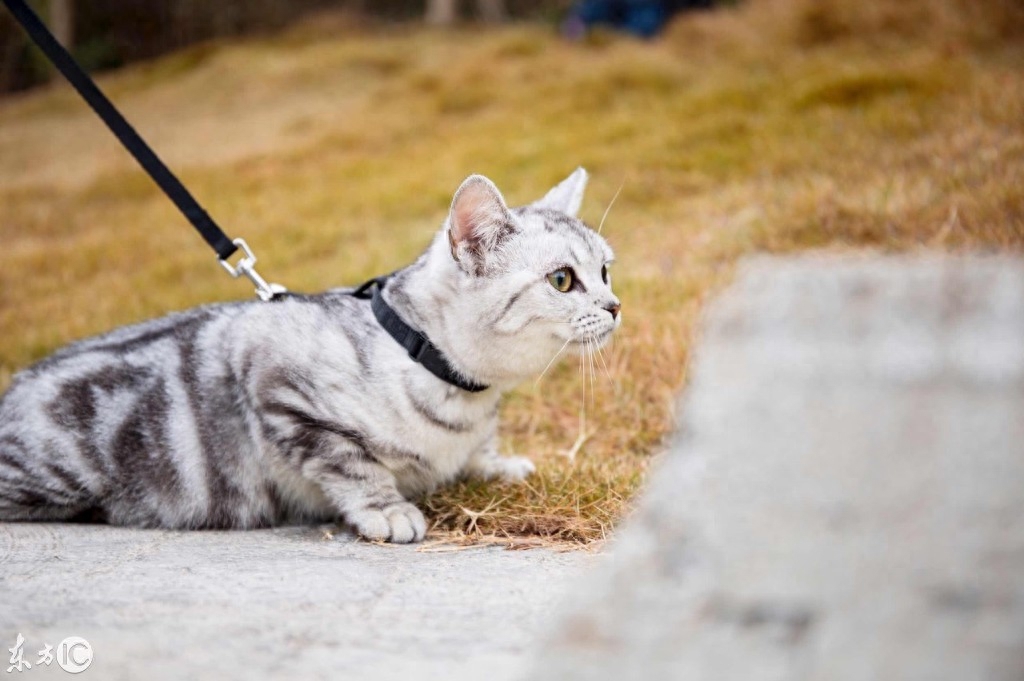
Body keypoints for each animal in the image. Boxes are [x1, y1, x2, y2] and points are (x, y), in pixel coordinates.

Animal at [0, 168, 614, 540]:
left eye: (606, 270)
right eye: (562, 279)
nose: (616, 306)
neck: (461, 395)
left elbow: (478, 452)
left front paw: (494, 463)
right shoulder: (278, 386)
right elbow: (352, 463)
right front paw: (388, 509)